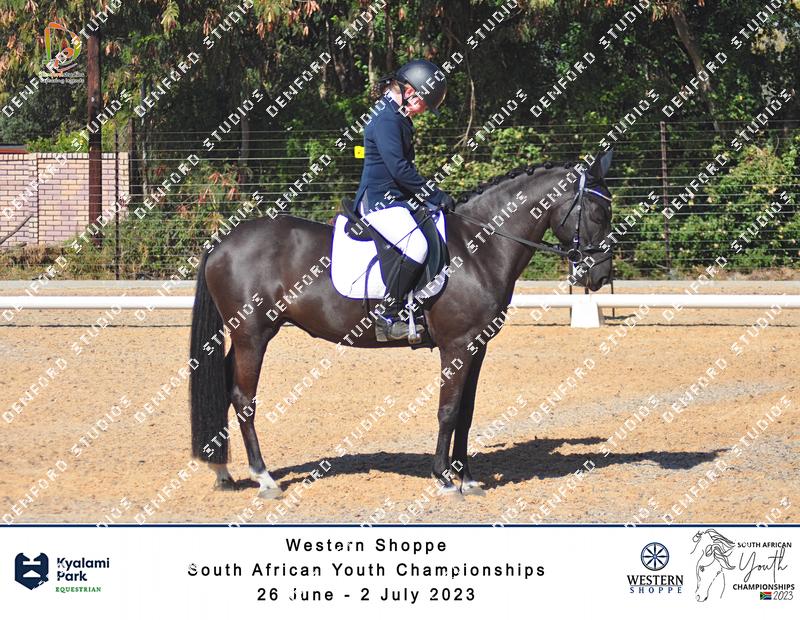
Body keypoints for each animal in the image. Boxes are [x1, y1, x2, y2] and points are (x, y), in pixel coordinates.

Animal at [189, 150, 615, 499]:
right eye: (597, 214)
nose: (600, 276)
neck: (479, 247)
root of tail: (225, 240)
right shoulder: (457, 346)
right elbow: (448, 410)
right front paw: (444, 478)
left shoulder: (477, 346)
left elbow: (467, 411)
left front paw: (468, 477)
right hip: (253, 334)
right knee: (243, 398)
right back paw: (264, 478)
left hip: (248, 335)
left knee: (224, 390)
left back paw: (223, 472)